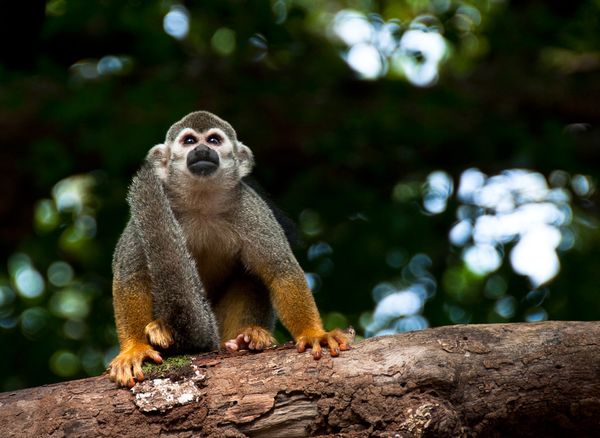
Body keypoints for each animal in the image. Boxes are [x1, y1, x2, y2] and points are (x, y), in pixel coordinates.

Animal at [110, 112, 350, 386]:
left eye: (214, 140)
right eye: (189, 140)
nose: (202, 149)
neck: (201, 203)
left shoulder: (250, 208)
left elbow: (280, 270)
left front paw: (313, 333)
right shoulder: (139, 221)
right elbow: (131, 276)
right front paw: (134, 349)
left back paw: (244, 340)